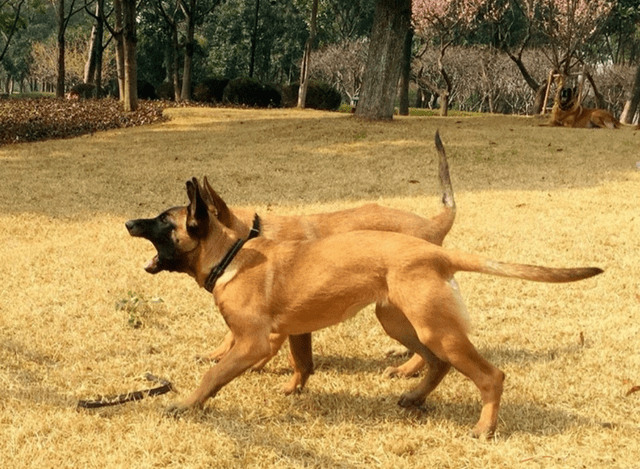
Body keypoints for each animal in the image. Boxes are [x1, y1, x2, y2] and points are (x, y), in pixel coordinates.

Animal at [126, 177, 604, 436]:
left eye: (163, 221)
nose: (128, 222)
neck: (231, 255)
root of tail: (437, 252)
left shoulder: (255, 342)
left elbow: (214, 374)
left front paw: (187, 405)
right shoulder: (296, 330)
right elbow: (303, 363)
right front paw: (295, 389)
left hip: (434, 329)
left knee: (490, 376)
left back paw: (484, 428)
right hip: (401, 322)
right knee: (437, 364)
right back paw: (413, 396)